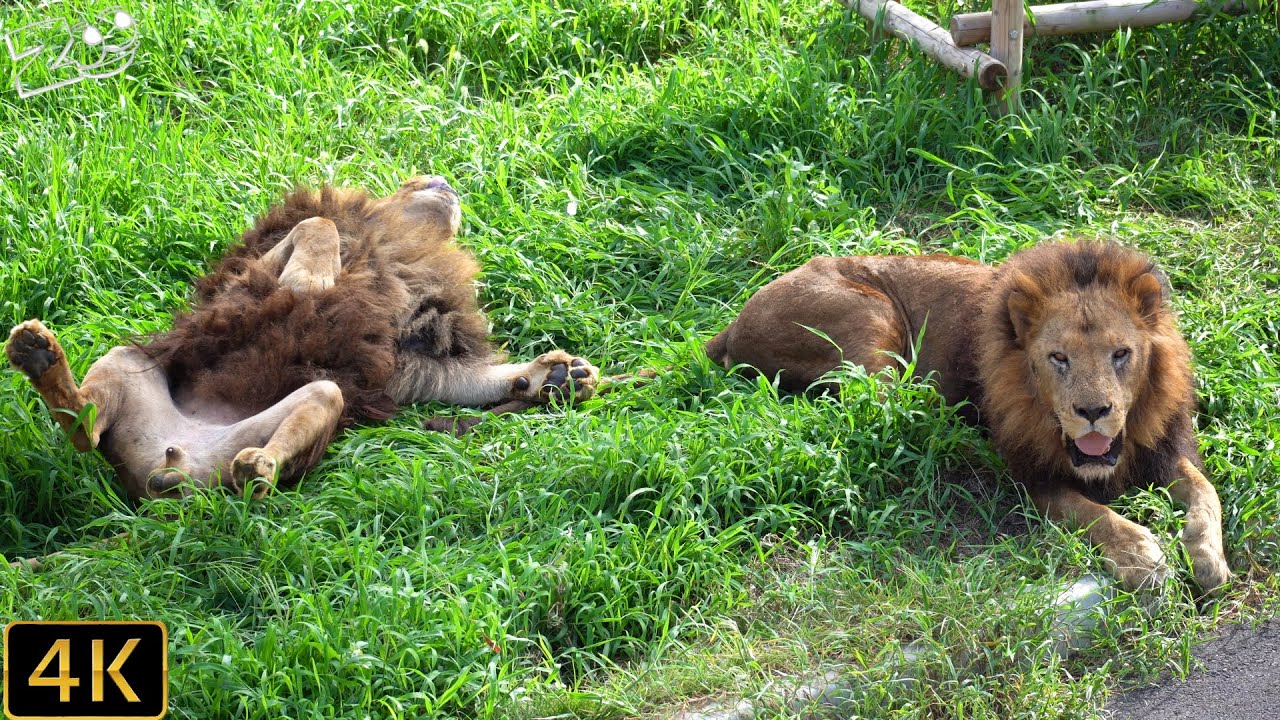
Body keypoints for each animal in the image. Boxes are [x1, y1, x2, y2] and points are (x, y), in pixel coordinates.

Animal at [6, 176, 599, 501]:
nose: (448, 181)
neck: (395, 243)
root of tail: (169, 470)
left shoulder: (410, 362)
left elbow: (474, 382)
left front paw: (558, 376)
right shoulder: (249, 275)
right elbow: (319, 225)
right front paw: (313, 279)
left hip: (309, 403)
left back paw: (258, 467)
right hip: (129, 358)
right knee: (83, 425)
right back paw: (37, 354)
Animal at [705, 240, 1230, 591]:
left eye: (1121, 354)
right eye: (1058, 358)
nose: (1093, 412)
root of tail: (731, 325)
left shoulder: (1164, 449)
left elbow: (1208, 494)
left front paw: (1207, 559)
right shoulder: (1033, 475)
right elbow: (1093, 513)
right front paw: (1141, 556)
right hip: (870, 314)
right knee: (880, 403)